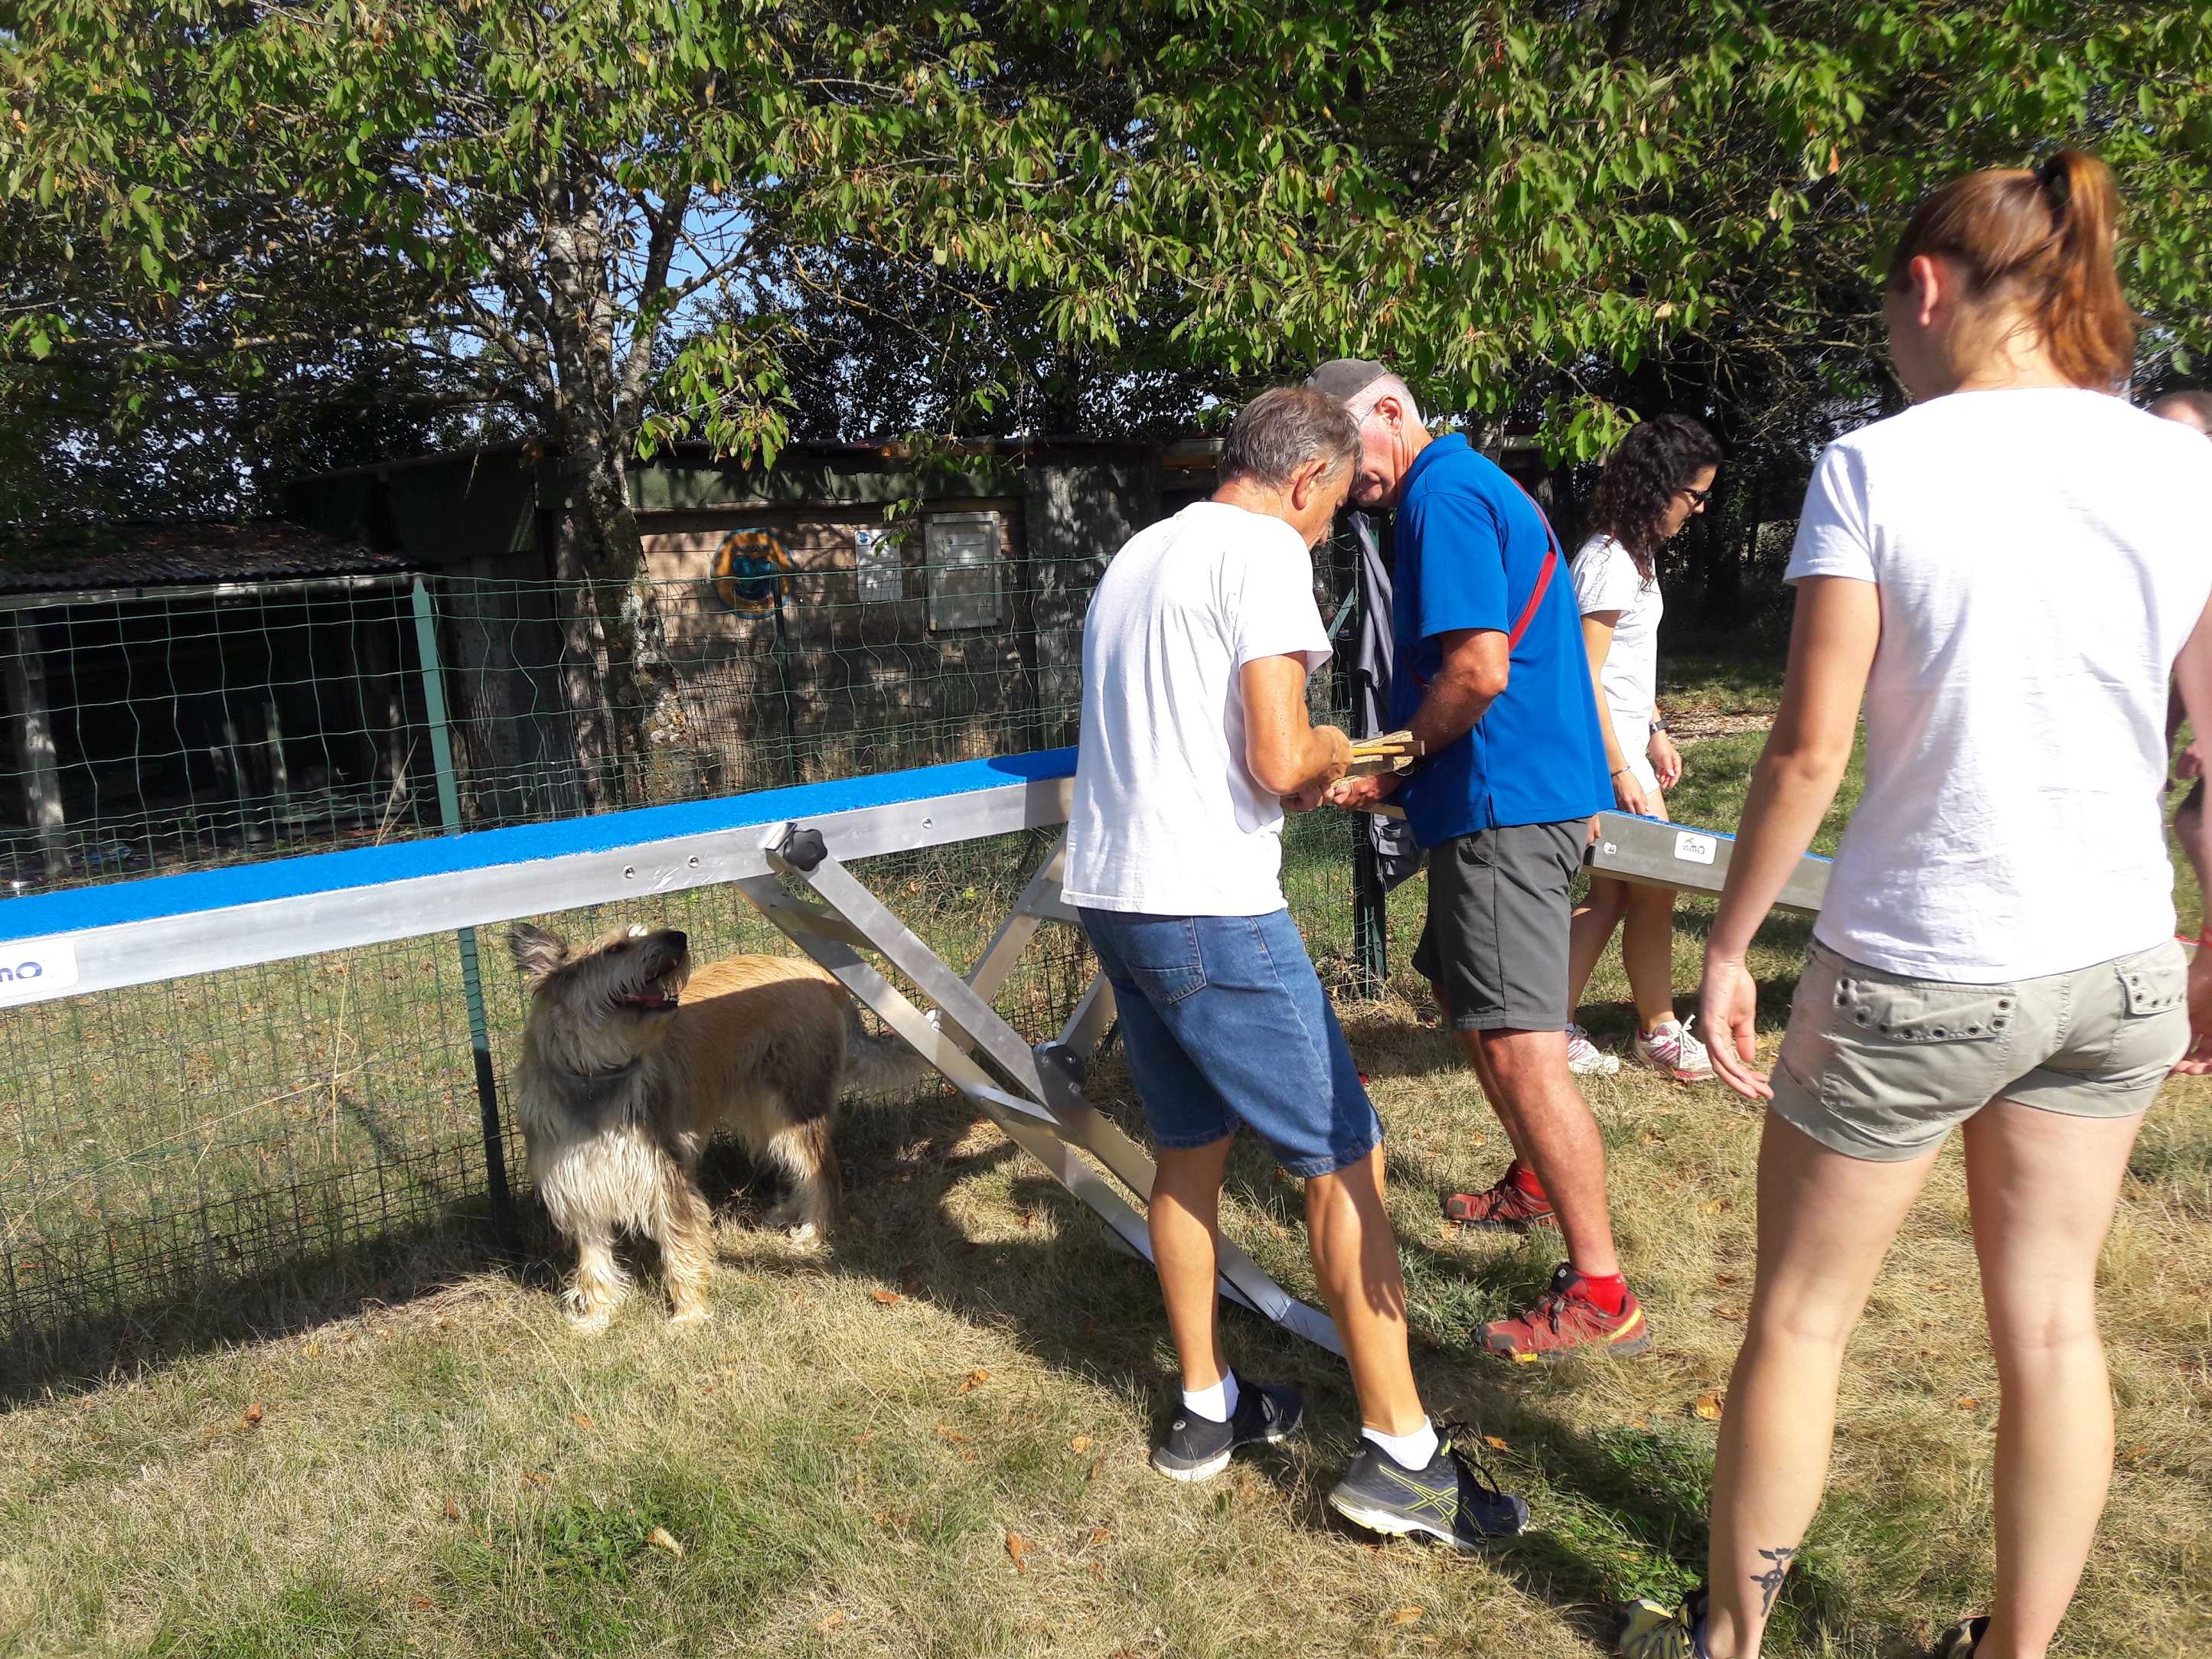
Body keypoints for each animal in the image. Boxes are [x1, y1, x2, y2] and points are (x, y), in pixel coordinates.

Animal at [508, 929, 925, 1335]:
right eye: (614, 949)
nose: (678, 937)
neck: (596, 1080)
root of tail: (818, 973)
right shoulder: (579, 1188)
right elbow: (594, 1263)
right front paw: (597, 1318)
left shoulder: (666, 1177)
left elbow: (681, 1248)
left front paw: (689, 1315)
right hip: (763, 1112)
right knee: (801, 1167)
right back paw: (790, 1211)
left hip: (793, 1107)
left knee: (822, 1170)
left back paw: (812, 1233)